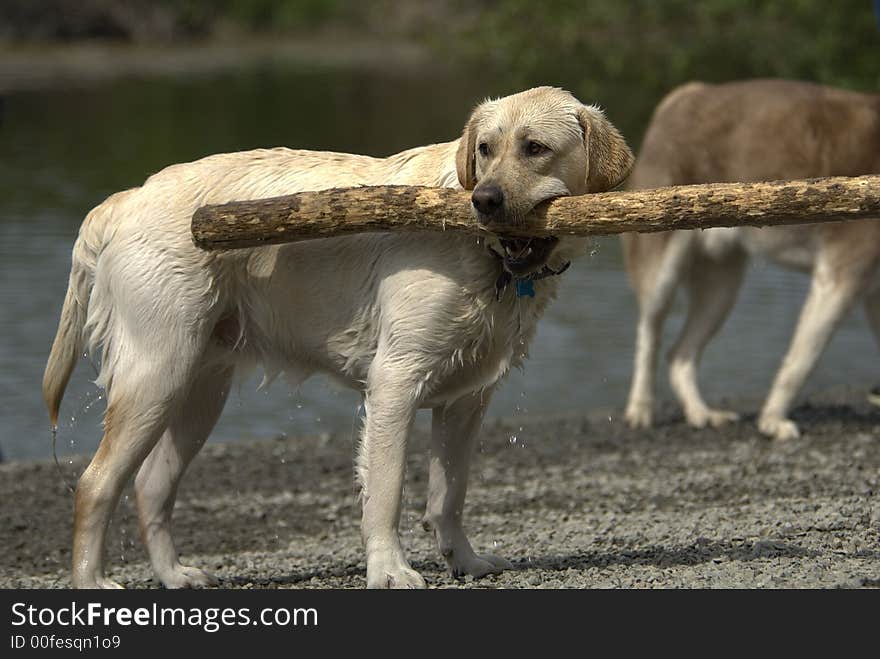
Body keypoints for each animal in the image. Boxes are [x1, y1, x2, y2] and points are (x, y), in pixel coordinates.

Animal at [44, 86, 632, 588]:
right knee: (96, 483)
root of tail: (126, 198)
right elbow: (386, 493)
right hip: (157, 374)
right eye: (485, 149)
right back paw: (91, 581)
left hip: (199, 389)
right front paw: (390, 571)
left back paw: (173, 575)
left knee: (150, 485)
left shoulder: (467, 399)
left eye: (535, 148)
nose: (483, 200)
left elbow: (449, 494)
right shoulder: (395, 381)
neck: (489, 260)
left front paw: (463, 560)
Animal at [624, 81, 880, 444]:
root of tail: (684, 95)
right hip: (661, 267)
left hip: (721, 285)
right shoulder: (842, 273)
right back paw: (641, 408)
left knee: (680, 355)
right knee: (649, 332)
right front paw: (772, 420)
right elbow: (801, 360)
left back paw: (702, 414)